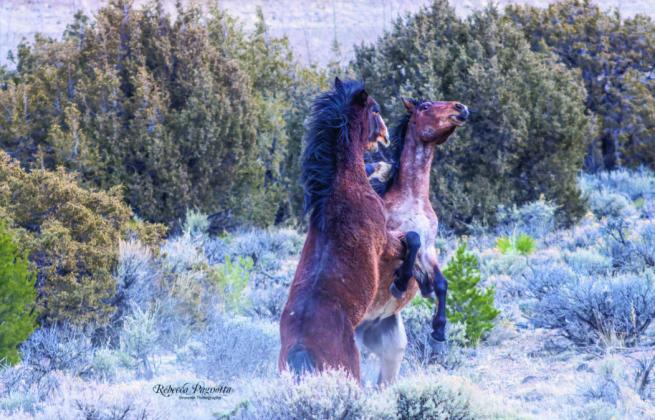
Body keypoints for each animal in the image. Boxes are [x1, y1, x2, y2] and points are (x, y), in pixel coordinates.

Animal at [278, 79, 421, 382]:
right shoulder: (385, 243)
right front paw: (400, 283)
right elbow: (413, 240)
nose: (386, 136)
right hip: (350, 368)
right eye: (375, 109)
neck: (343, 187)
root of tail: (299, 348)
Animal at [357, 98, 469, 385]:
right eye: (426, 106)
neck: (413, 198)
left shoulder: (430, 250)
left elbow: (442, 283)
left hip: (391, 349)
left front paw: (439, 332)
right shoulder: (390, 241)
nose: (461, 108)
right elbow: (412, 239)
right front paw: (399, 282)